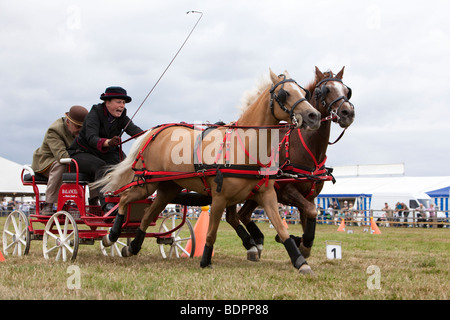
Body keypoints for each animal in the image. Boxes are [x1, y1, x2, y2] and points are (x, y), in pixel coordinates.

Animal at [93, 70, 322, 276]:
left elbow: (281, 230)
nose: (314, 116)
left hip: (167, 188)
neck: (243, 145)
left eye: (303, 91)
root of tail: (157, 131)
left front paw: (301, 262)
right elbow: (211, 233)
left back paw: (132, 247)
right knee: (124, 199)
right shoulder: (219, 198)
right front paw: (205, 260)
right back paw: (111, 236)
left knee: (147, 214)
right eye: (285, 94)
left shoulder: (267, 195)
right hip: (146, 184)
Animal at [225, 66, 356, 262]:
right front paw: (297, 242)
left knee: (243, 215)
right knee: (232, 217)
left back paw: (258, 241)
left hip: (254, 193)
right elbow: (312, 212)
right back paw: (251, 245)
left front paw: (302, 243)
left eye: (347, 91)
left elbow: (309, 219)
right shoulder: (287, 192)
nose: (348, 113)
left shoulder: (309, 197)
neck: (306, 148)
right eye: (325, 90)